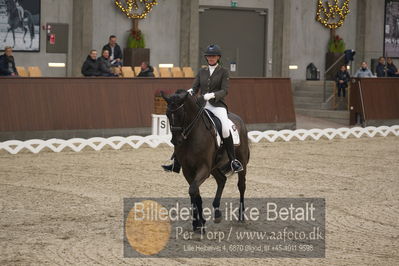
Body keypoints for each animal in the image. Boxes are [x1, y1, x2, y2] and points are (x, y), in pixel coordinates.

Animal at [162, 89, 250, 233]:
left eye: (181, 114)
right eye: (167, 114)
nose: (175, 141)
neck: (192, 135)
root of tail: (239, 120)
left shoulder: (203, 168)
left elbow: (193, 191)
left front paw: (198, 223)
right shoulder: (188, 170)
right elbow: (195, 193)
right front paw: (198, 223)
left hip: (241, 161)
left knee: (241, 185)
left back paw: (241, 217)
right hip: (213, 167)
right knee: (221, 180)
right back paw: (217, 213)